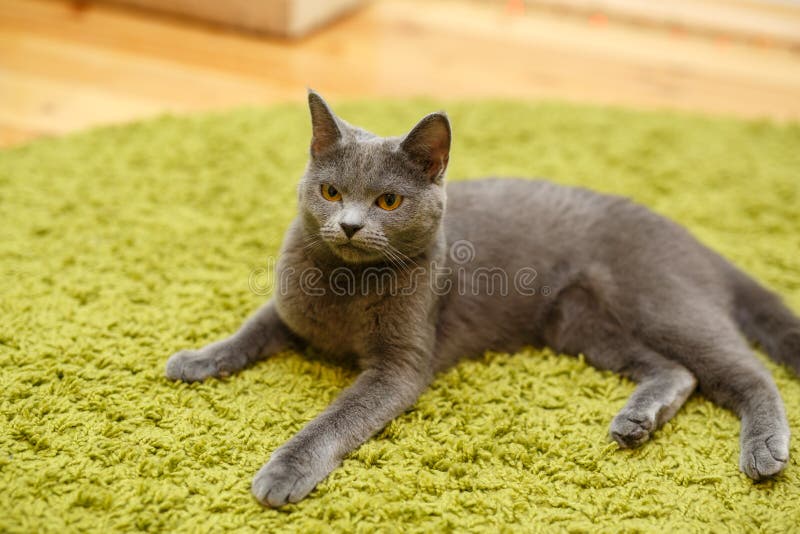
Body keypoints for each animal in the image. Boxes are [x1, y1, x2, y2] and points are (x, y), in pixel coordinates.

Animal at [166, 90, 796, 508]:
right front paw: (195, 360)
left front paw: (283, 472)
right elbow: (248, 330)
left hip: (661, 304)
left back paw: (764, 451)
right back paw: (637, 421)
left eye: (389, 201)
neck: (347, 285)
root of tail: (693, 239)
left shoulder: (400, 366)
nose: (347, 226)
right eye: (330, 191)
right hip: (580, 324)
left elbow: (335, 418)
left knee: (748, 371)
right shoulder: (289, 309)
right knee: (678, 372)